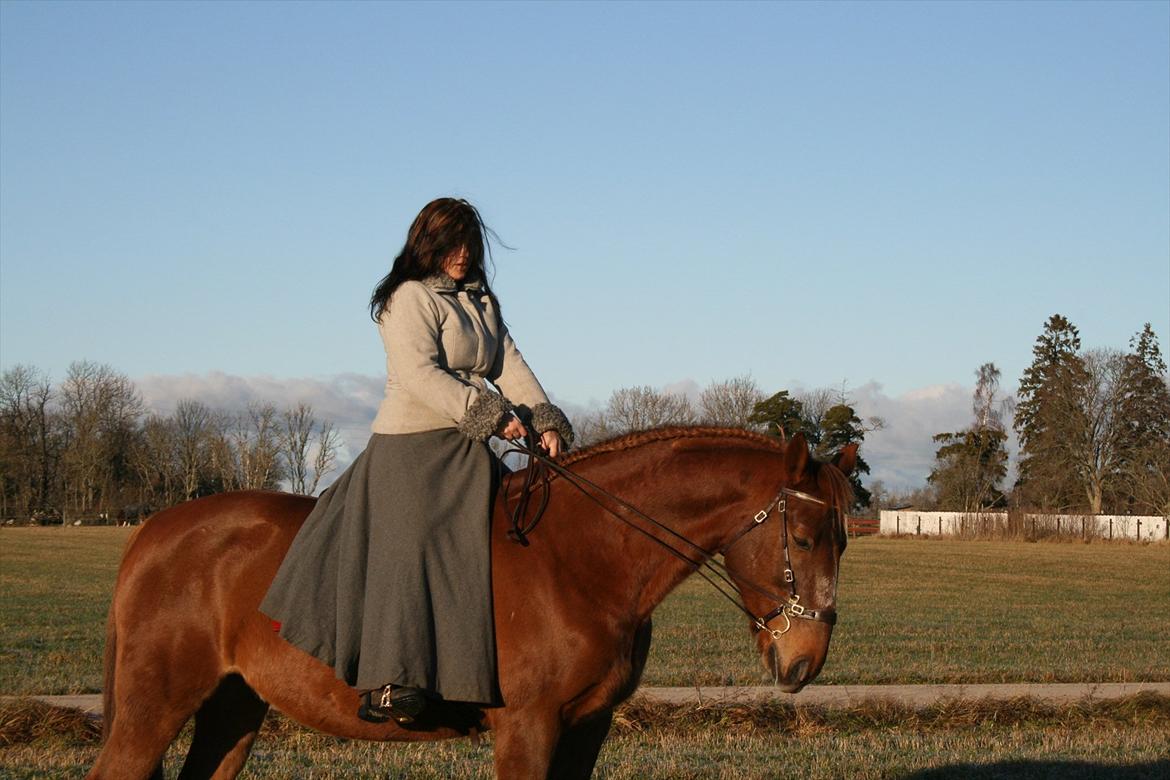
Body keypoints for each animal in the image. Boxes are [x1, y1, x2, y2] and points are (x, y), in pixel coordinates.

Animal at [91, 430, 856, 776]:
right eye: (804, 536)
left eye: (845, 538)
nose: (806, 661)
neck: (577, 560)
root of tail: (155, 529)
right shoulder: (526, 728)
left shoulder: (584, 729)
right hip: (153, 709)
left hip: (232, 707)